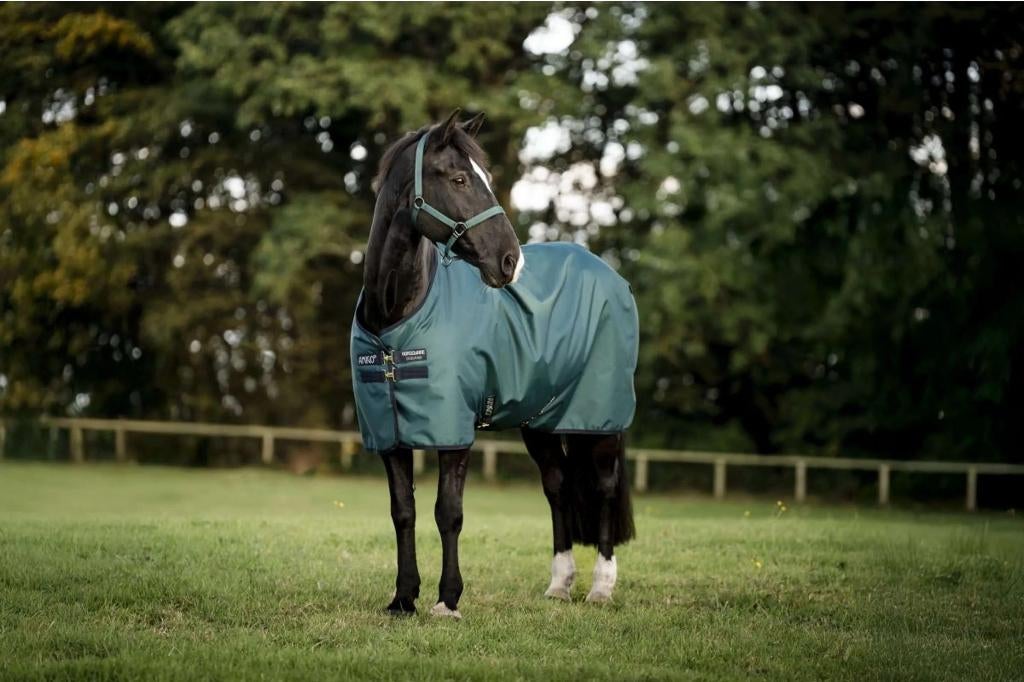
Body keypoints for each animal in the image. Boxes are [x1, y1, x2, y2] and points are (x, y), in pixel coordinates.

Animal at [351, 110, 638, 618]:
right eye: (460, 179)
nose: (510, 261)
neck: (396, 319)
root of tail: (610, 275)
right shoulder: (389, 433)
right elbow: (403, 511)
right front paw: (403, 598)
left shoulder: (454, 431)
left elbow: (448, 512)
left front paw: (448, 600)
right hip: (540, 422)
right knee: (557, 486)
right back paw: (559, 584)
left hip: (601, 421)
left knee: (603, 488)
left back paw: (601, 587)